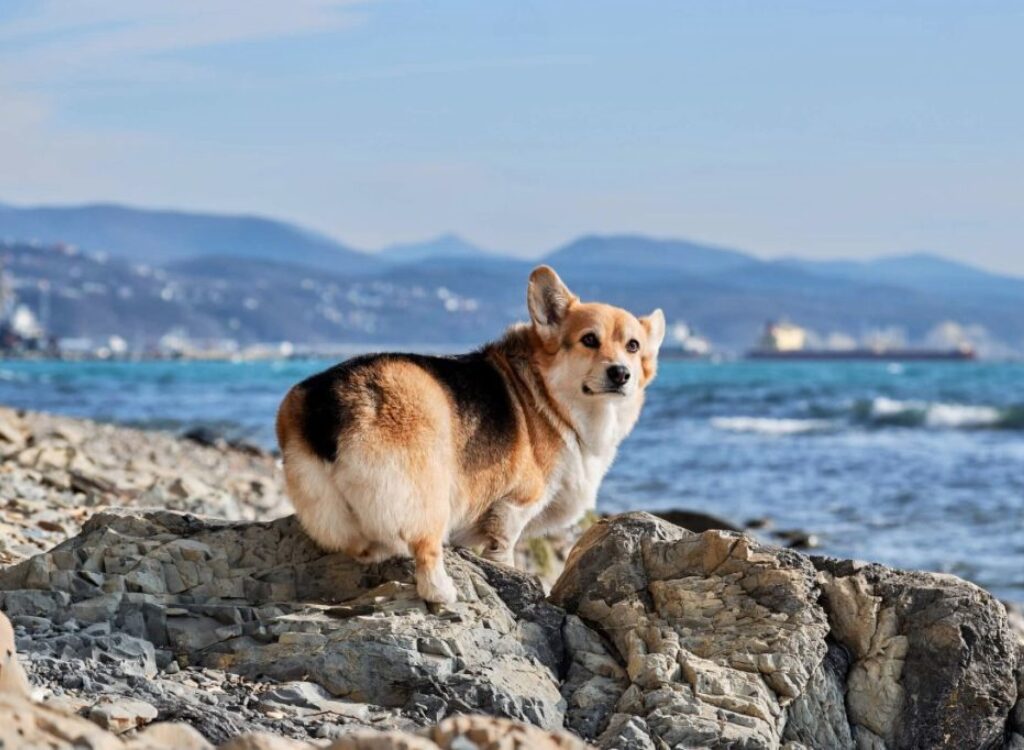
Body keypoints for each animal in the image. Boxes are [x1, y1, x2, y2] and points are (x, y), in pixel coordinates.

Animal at [276, 264, 667, 602]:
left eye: (633, 346)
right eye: (589, 340)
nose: (620, 373)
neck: (550, 397)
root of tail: (330, 400)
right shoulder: (513, 507)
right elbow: (504, 550)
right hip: (428, 493)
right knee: (426, 548)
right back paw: (443, 593)